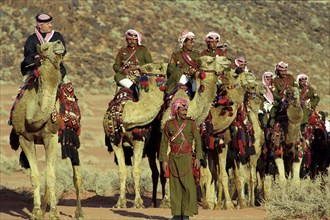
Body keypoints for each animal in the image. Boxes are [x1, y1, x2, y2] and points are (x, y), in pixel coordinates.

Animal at [11, 40, 65, 219]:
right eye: (45, 47)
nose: (59, 42)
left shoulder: (51, 137)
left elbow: (51, 176)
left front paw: (54, 213)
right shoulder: (24, 138)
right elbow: (34, 176)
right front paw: (35, 212)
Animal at [104, 62, 168, 208]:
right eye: (160, 67)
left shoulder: (139, 141)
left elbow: (136, 171)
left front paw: (138, 203)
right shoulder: (115, 142)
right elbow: (122, 171)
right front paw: (120, 202)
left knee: (163, 171)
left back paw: (165, 202)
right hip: (150, 149)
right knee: (156, 172)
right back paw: (153, 202)